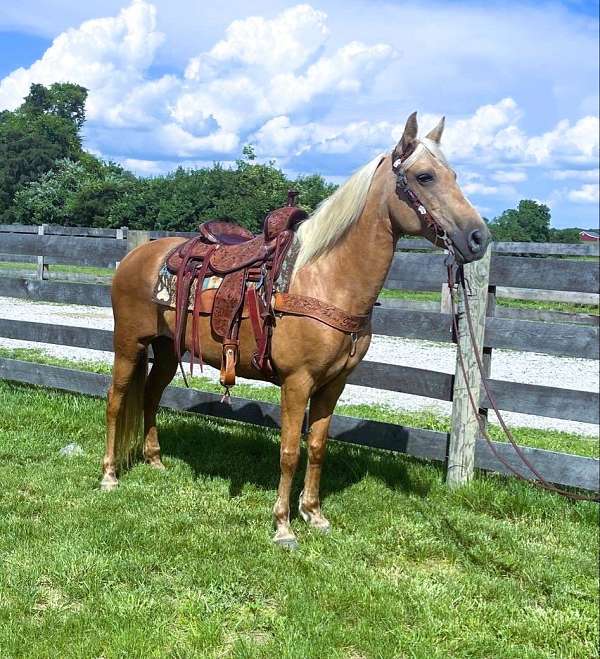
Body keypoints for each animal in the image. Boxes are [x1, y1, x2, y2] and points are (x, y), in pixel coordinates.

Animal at [101, 112, 490, 548]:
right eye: (424, 176)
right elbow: (289, 451)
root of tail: (136, 255)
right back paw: (109, 476)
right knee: (116, 400)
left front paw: (314, 514)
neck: (326, 277)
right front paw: (283, 526)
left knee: (151, 395)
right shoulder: (297, 382)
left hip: (168, 349)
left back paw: (155, 461)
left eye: (454, 174)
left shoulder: (333, 384)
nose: (478, 238)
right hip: (129, 344)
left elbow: (317, 446)